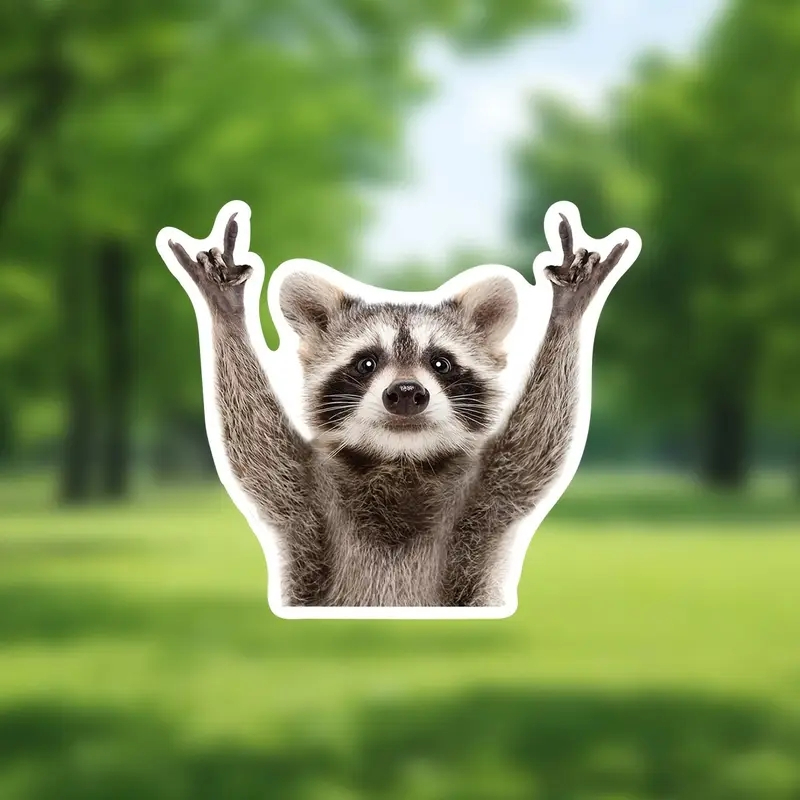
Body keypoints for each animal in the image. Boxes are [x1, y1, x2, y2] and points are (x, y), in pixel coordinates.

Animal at [166, 211, 629, 607]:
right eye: (366, 363)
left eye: (440, 363)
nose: (406, 392)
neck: (400, 460)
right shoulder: (306, 496)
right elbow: (257, 446)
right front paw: (226, 311)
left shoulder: (486, 496)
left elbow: (535, 446)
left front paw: (567, 311)